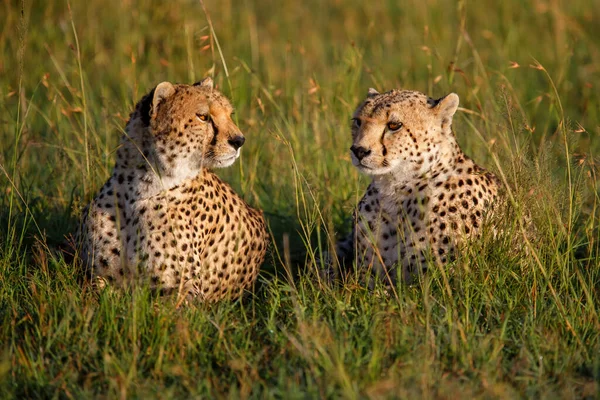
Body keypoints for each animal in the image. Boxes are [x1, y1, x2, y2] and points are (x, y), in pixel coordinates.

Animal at [77, 79, 268, 300]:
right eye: (203, 117)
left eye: (230, 114)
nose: (239, 141)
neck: (140, 186)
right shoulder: (95, 275)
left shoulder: (187, 289)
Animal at [330, 87, 500, 284]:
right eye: (358, 121)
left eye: (394, 125)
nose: (359, 150)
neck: (393, 190)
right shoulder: (368, 275)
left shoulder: (440, 280)